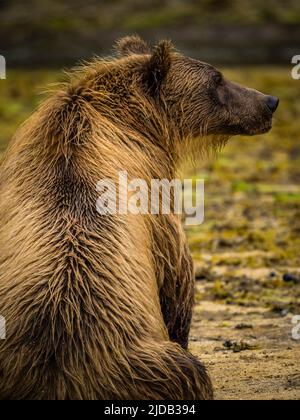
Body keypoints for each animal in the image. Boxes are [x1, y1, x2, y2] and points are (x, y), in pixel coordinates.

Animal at [0, 37, 278, 400]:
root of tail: (59, 376)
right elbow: (177, 276)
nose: (270, 102)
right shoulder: (155, 197)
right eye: (217, 79)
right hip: (141, 365)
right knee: (188, 369)